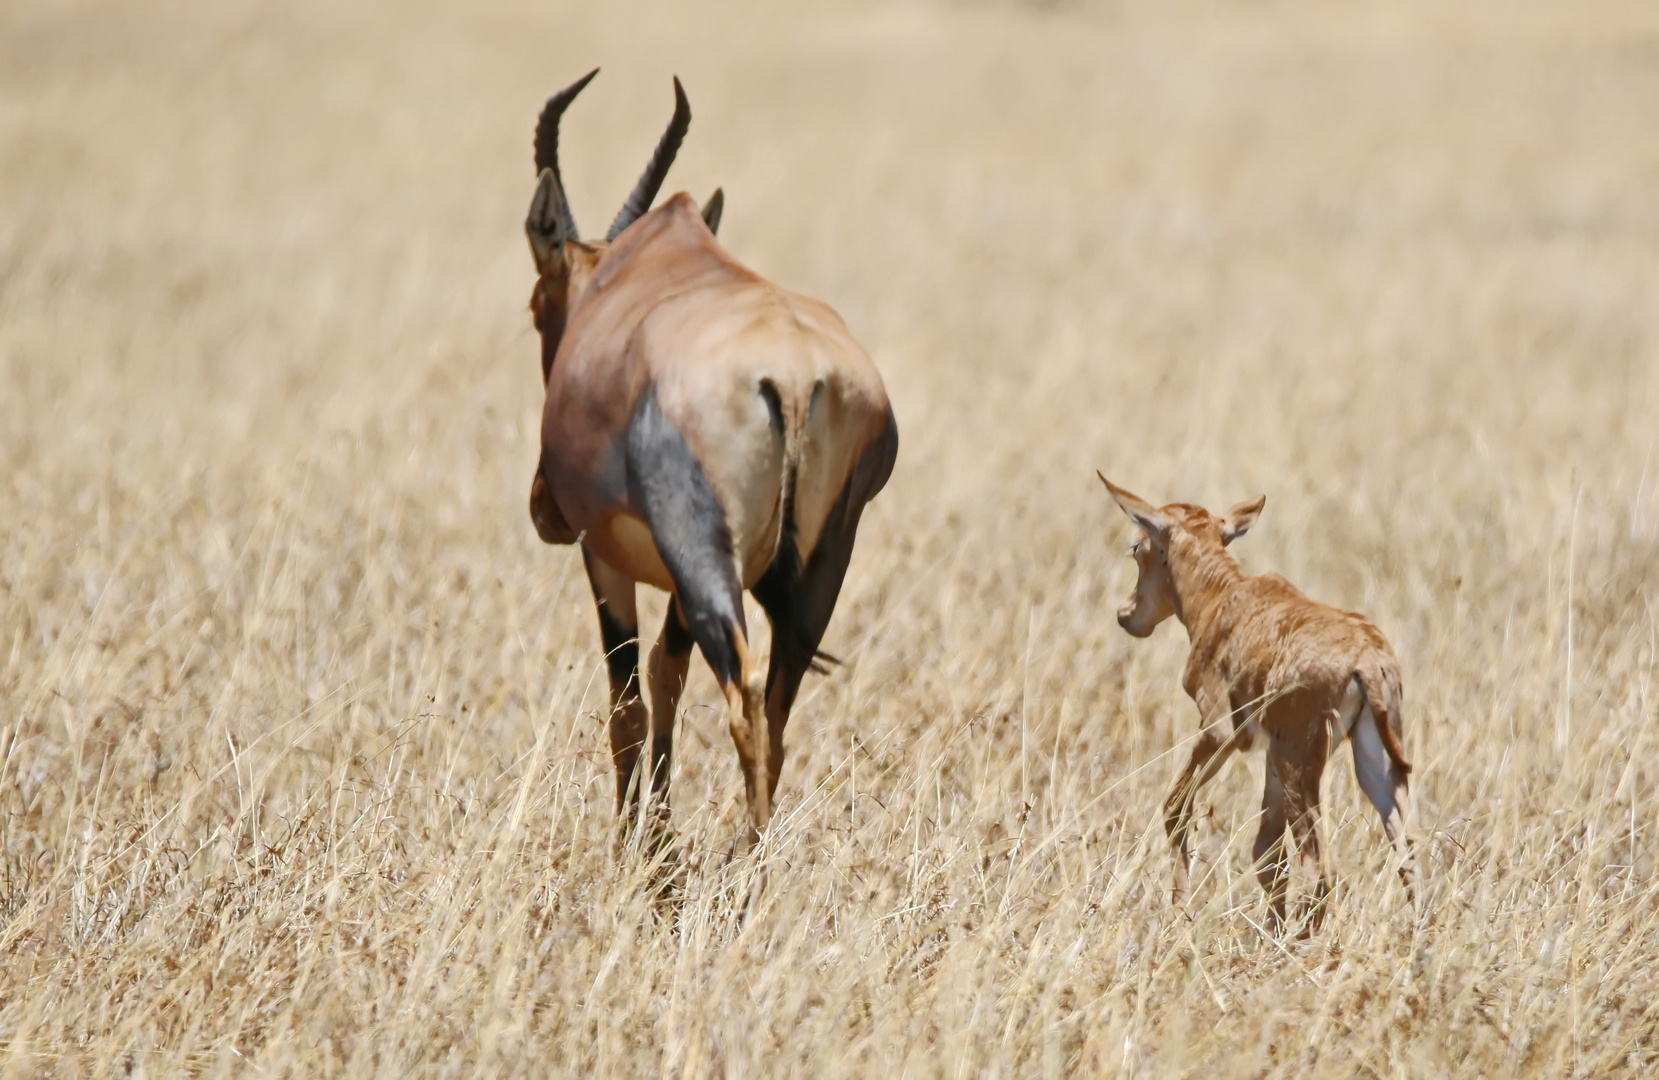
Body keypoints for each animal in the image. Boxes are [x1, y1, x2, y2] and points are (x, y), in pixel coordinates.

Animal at [524, 71, 902, 856]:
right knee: (778, 709)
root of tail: (794, 374)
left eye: (541, 304)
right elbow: (667, 676)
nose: (542, 504)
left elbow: (629, 701)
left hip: (699, 551)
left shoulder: (606, 556)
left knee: (744, 696)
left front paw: (635, 851)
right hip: (822, 560)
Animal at [1094, 477, 1420, 935]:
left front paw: (1181, 913)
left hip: (1301, 761)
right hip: (1371, 762)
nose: (1127, 614)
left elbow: (1176, 806)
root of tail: (1368, 659)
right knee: (1410, 854)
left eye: (1137, 545)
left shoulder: (1222, 732)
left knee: (1321, 866)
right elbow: (1267, 852)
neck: (1226, 596)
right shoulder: (1268, 750)